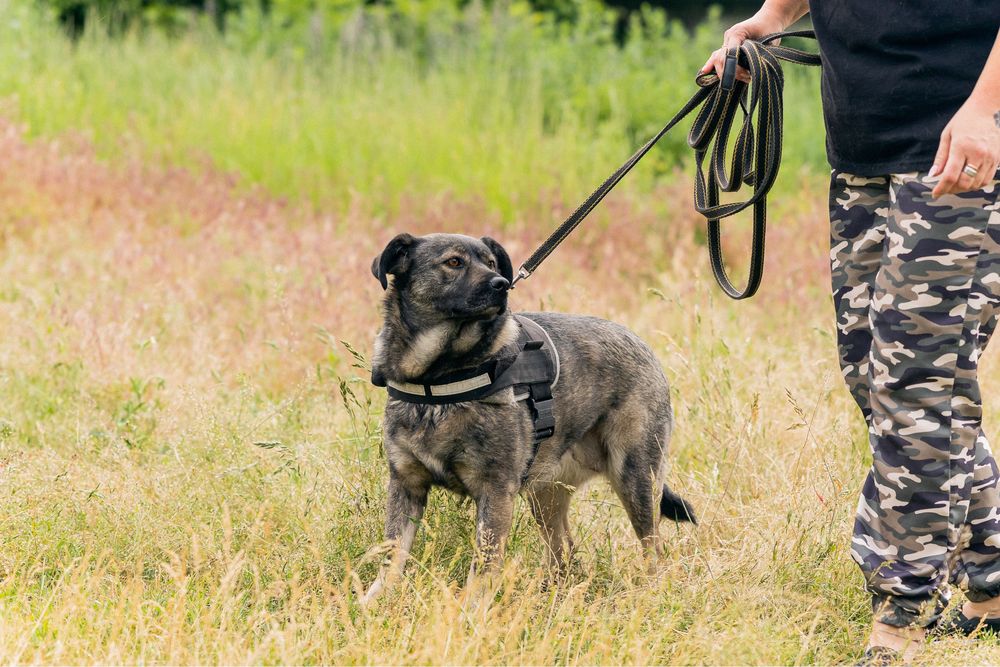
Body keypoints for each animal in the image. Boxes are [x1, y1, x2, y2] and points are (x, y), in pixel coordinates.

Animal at [362, 232, 696, 604]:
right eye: (453, 262)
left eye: (492, 263)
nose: (502, 284)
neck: (439, 379)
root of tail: (641, 344)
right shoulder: (406, 485)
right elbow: (392, 555)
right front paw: (373, 603)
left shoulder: (495, 492)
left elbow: (484, 566)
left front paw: (471, 610)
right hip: (545, 496)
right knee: (564, 550)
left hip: (636, 478)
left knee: (653, 549)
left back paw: (651, 593)